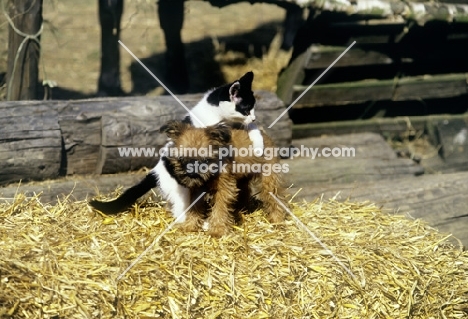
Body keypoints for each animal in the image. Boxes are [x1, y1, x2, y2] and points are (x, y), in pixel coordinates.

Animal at [88, 72, 264, 218]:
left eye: (253, 108)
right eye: (246, 109)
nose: (254, 117)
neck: (219, 115)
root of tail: (155, 172)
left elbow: (251, 129)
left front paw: (258, 145)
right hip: (180, 190)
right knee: (181, 210)